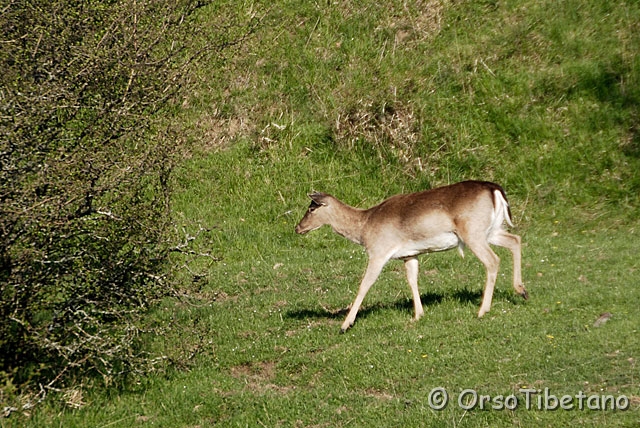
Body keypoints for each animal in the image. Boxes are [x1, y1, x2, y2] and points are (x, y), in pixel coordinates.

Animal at [296, 179, 524, 332]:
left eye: (311, 208)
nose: (298, 227)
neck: (364, 227)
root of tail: (495, 190)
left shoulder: (378, 251)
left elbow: (365, 284)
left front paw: (345, 324)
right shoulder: (410, 255)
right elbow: (412, 280)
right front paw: (418, 316)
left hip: (473, 232)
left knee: (493, 260)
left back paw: (483, 310)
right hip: (491, 230)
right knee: (515, 239)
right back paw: (522, 290)